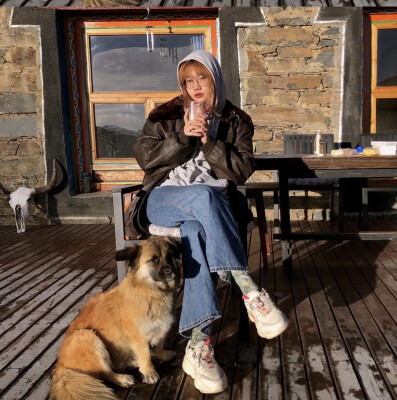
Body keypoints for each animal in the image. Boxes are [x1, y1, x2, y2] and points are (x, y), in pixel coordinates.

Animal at [50, 238, 181, 400]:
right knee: (105, 372)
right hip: (86, 337)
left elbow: (158, 347)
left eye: (169, 256)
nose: (170, 270)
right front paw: (149, 372)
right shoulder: (139, 337)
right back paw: (122, 378)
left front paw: (162, 355)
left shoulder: (160, 329)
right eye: (153, 260)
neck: (152, 293)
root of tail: (60, 366)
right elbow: (145, 354)